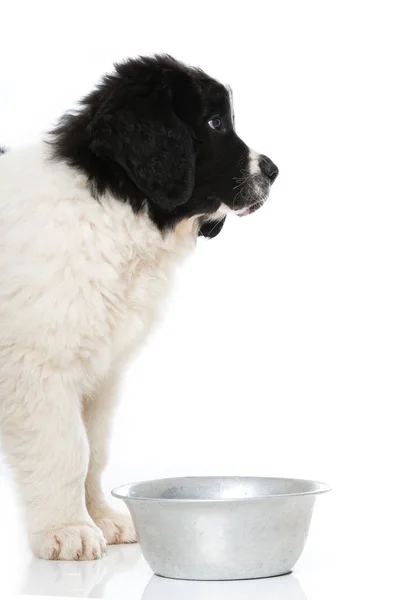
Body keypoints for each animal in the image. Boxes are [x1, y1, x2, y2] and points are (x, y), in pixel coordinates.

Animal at [0, 54, 278, 560]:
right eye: (214, 122)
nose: (273, 170)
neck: (111, 209)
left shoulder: (102, 373)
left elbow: (94, 450)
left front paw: (101, 518)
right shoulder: (36, 365)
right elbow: (66, 448)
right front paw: (67, 528)